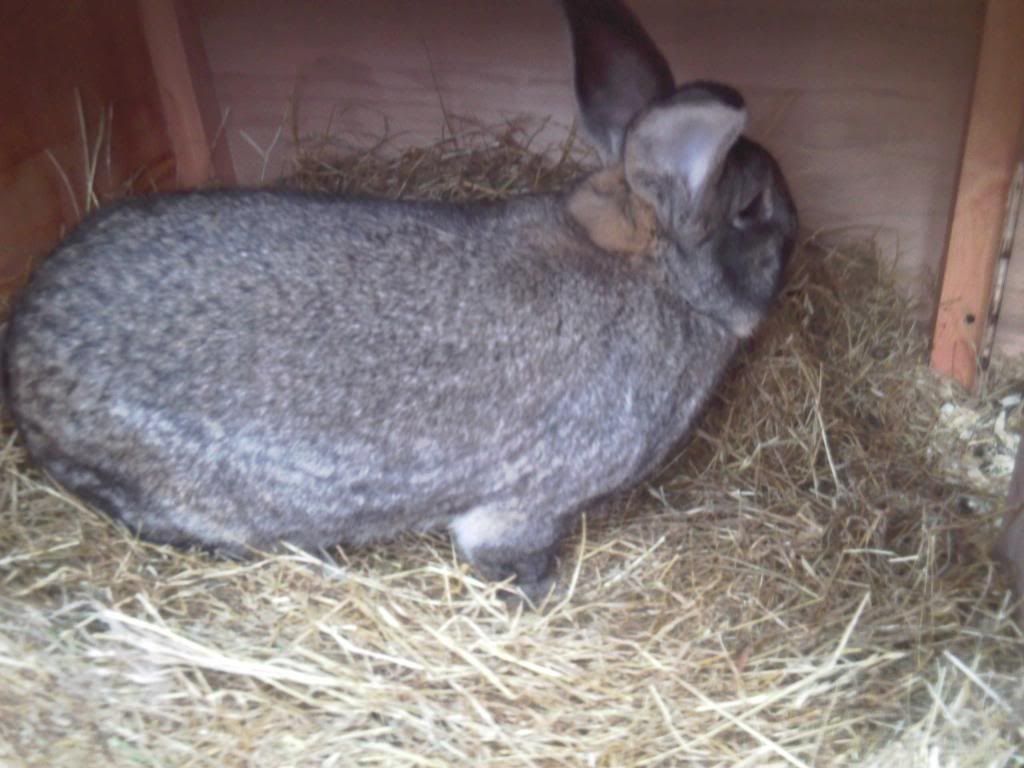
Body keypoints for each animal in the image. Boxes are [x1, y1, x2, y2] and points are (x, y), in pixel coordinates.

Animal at [2, 0, 797, 603]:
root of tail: (22, 363)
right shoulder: (527, 504)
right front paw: (540, 593)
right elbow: (508, 548)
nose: (795, 232)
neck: (652, 276)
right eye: (752, 210)